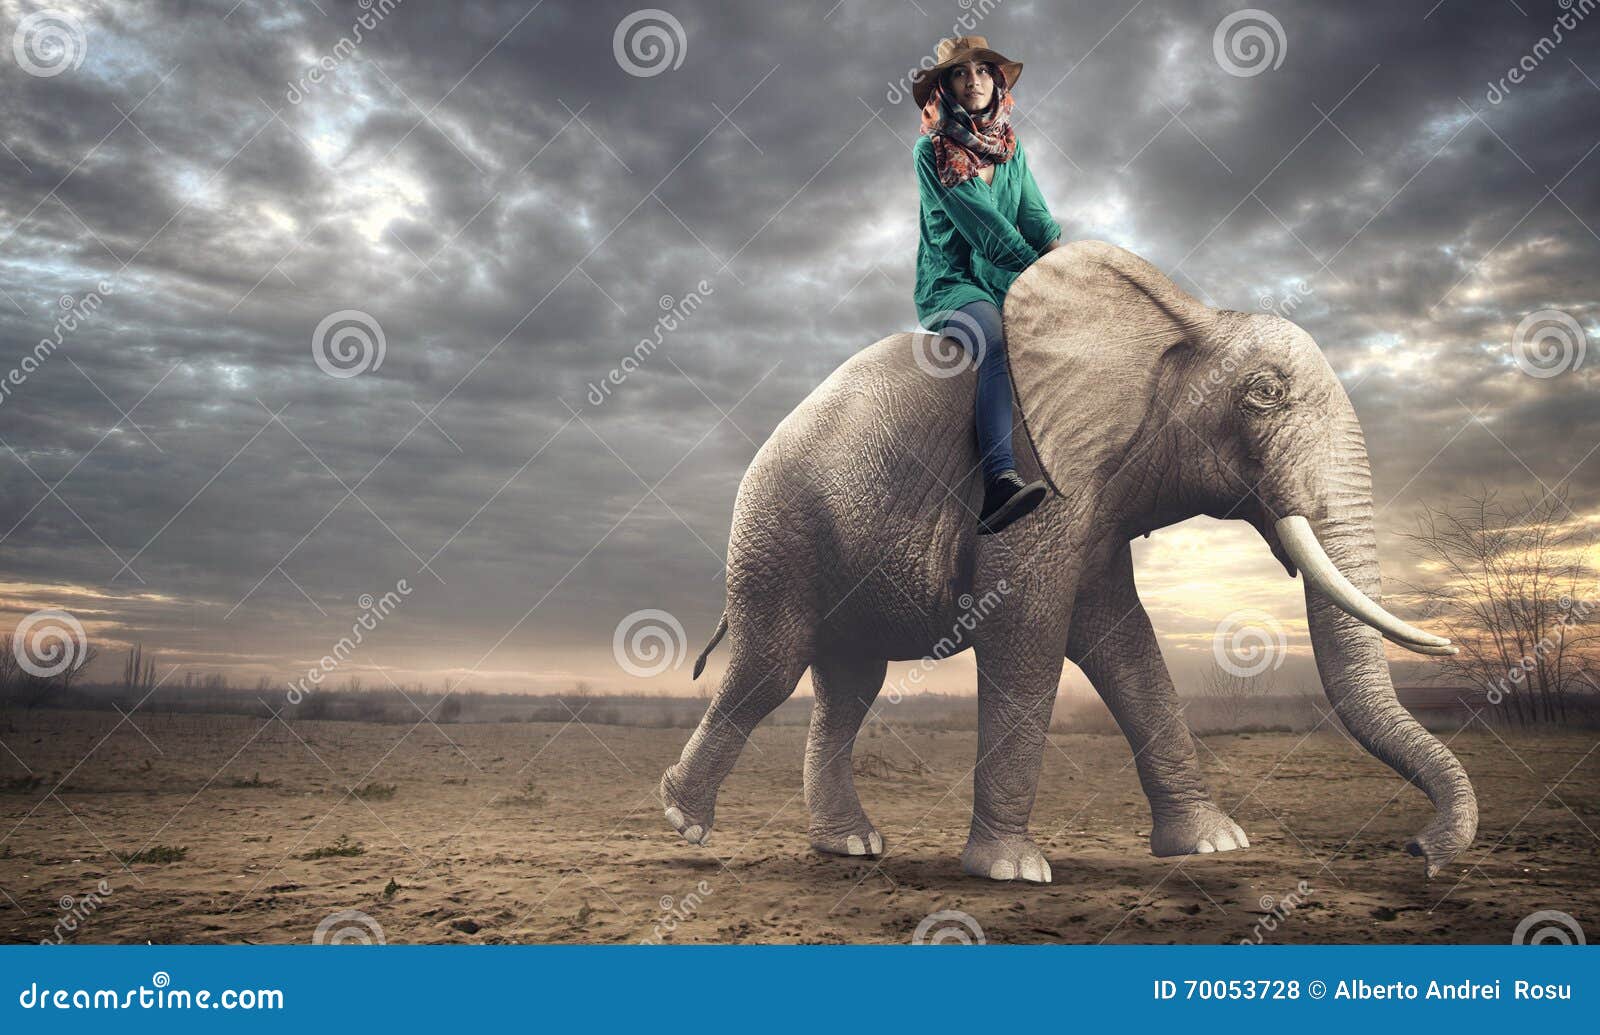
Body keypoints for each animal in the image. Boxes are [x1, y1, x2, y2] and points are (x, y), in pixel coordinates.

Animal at [658, 239, 1477, 883]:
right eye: (1265, 394)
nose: (1420, 852)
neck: (1184, 318)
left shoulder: (1100, 501)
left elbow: (1123, 641)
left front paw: (1215, 847)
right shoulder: (1031, 477)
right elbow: (1027, 633)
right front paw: (1013, 871)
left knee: (848, 686)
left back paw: (851, 847)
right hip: (776, 531)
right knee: (773, 666)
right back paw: (683, 820)